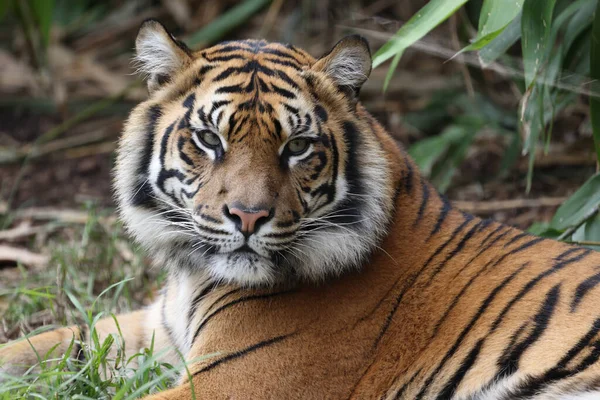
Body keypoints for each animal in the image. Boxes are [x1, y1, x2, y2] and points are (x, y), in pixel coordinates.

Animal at [3, 18, 600, 400]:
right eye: (209, 139)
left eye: (297, 147)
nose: (247, 217)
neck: (193, 274)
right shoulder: (153, 331)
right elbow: (40, 343)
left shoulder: (233, 384)